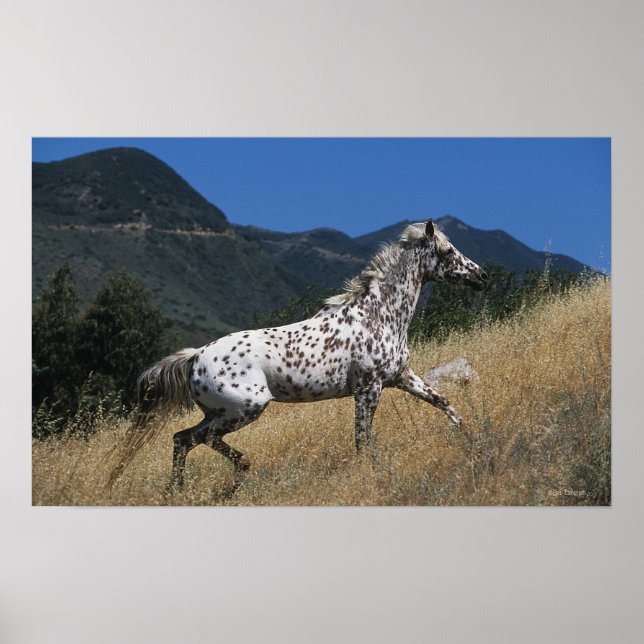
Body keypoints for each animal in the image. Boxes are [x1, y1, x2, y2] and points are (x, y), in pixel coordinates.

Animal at [108, 219, 488, 489]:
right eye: (448, 252)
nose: (482, 276)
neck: (379, 315)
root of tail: (194, 358)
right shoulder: (369, 388)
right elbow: (362, 438)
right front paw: (373, 471)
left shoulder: (401, 376)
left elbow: (443, 402)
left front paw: (469, 436)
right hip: (245, 409)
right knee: (196, 439)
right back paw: (238, 471)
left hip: (217, 412)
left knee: (182, 440)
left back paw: (181, 490)